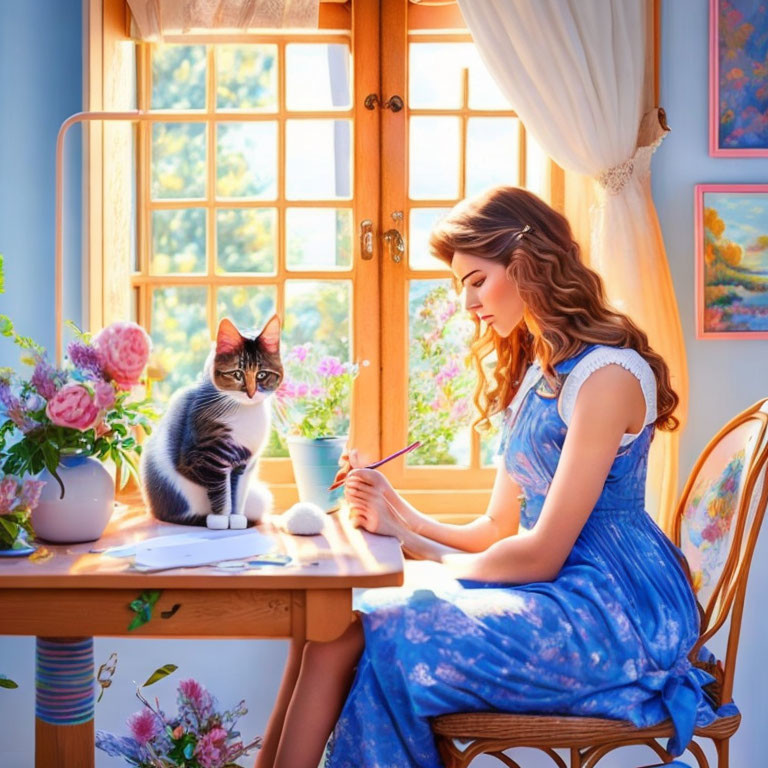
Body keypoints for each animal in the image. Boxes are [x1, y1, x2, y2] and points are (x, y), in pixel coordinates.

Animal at [140, 316, 284, 528]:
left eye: (262, 374)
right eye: (237, 374)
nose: (251, 393)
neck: (245, 413)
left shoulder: (245, 465)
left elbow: (237, 495)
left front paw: (237, 520)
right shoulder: (204, 459)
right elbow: (222, 494)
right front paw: (220, 521)